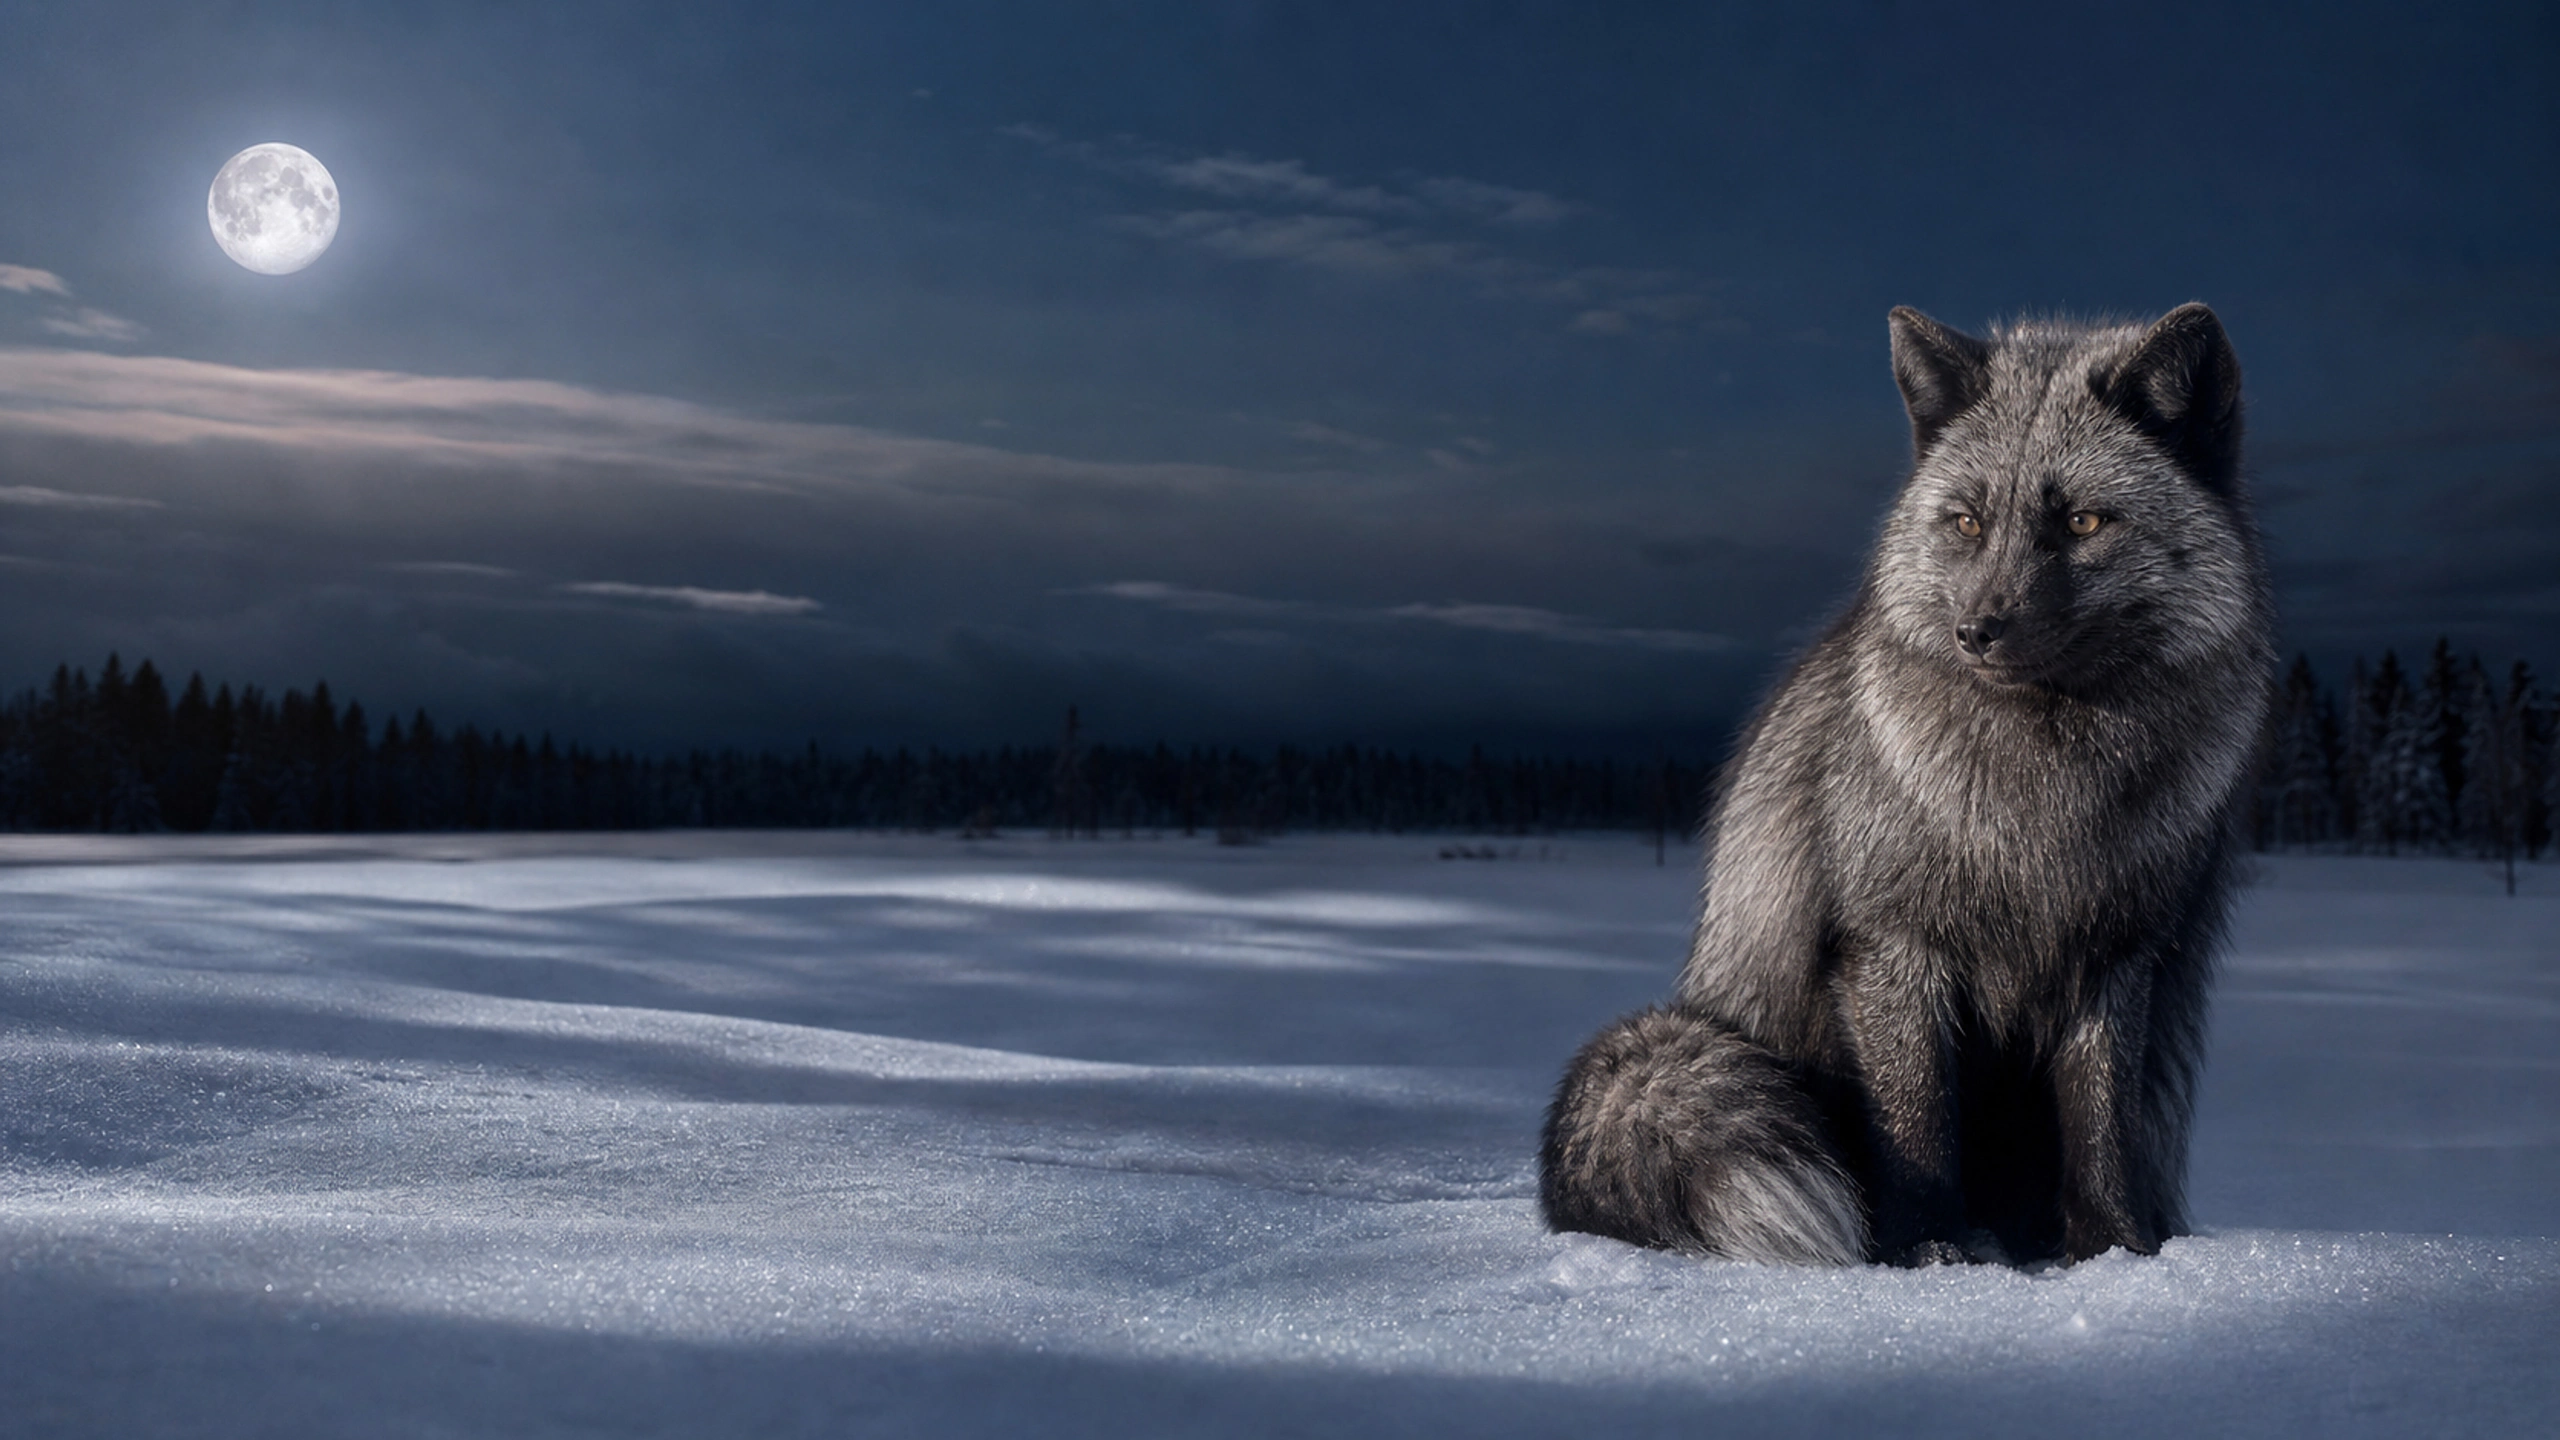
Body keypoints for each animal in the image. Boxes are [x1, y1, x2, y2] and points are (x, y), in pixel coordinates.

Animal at [1539, 304, 2275, 1266]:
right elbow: (1918, 1122)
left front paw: (2117, 1254)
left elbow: (2101, 1127)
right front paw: (1930, 1254)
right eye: (1966, 522)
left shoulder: (2118, 956)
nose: (1978, 631)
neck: (2045, 803)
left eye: (2082, 522)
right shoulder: (1891, 946)